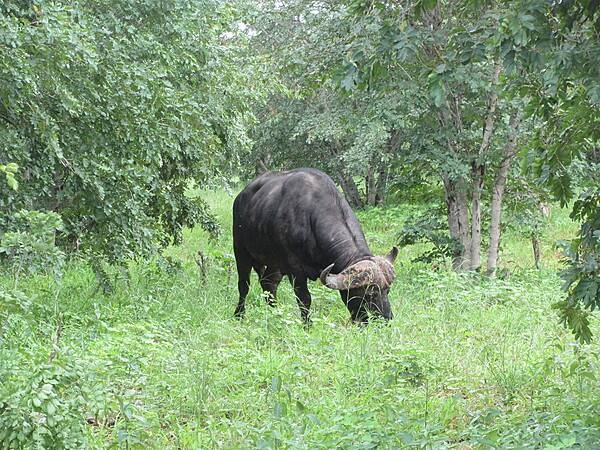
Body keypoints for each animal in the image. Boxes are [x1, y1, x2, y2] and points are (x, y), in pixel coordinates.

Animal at [233, 168, 398, 324]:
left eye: (388, 290)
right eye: (369, 294)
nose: (387, 318)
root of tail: (240, 197)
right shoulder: (295, 270)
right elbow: (304, 299)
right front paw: (307, 325)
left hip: (275, 263)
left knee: (268, 283)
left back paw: (276, 313)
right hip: (241, 250)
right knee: (244, 285)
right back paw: (239, 314)